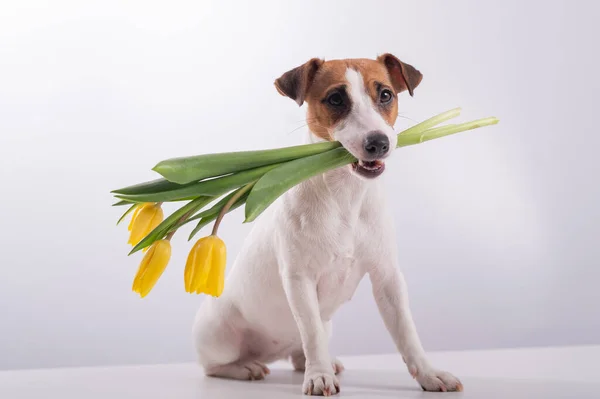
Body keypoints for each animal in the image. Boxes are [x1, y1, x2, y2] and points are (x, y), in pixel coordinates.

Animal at [193, 54, 464, 396]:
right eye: (336, 99)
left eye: (385, 95)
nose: (379, 143)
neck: (345, 195)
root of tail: (272, 353)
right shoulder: (299, 280)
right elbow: (311, 333)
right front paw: (319, 376)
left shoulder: (387, 277)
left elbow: (406, 332)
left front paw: (429, 374)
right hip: (218, 334)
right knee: (214, 365)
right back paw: (247, 367)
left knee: (300, 352)